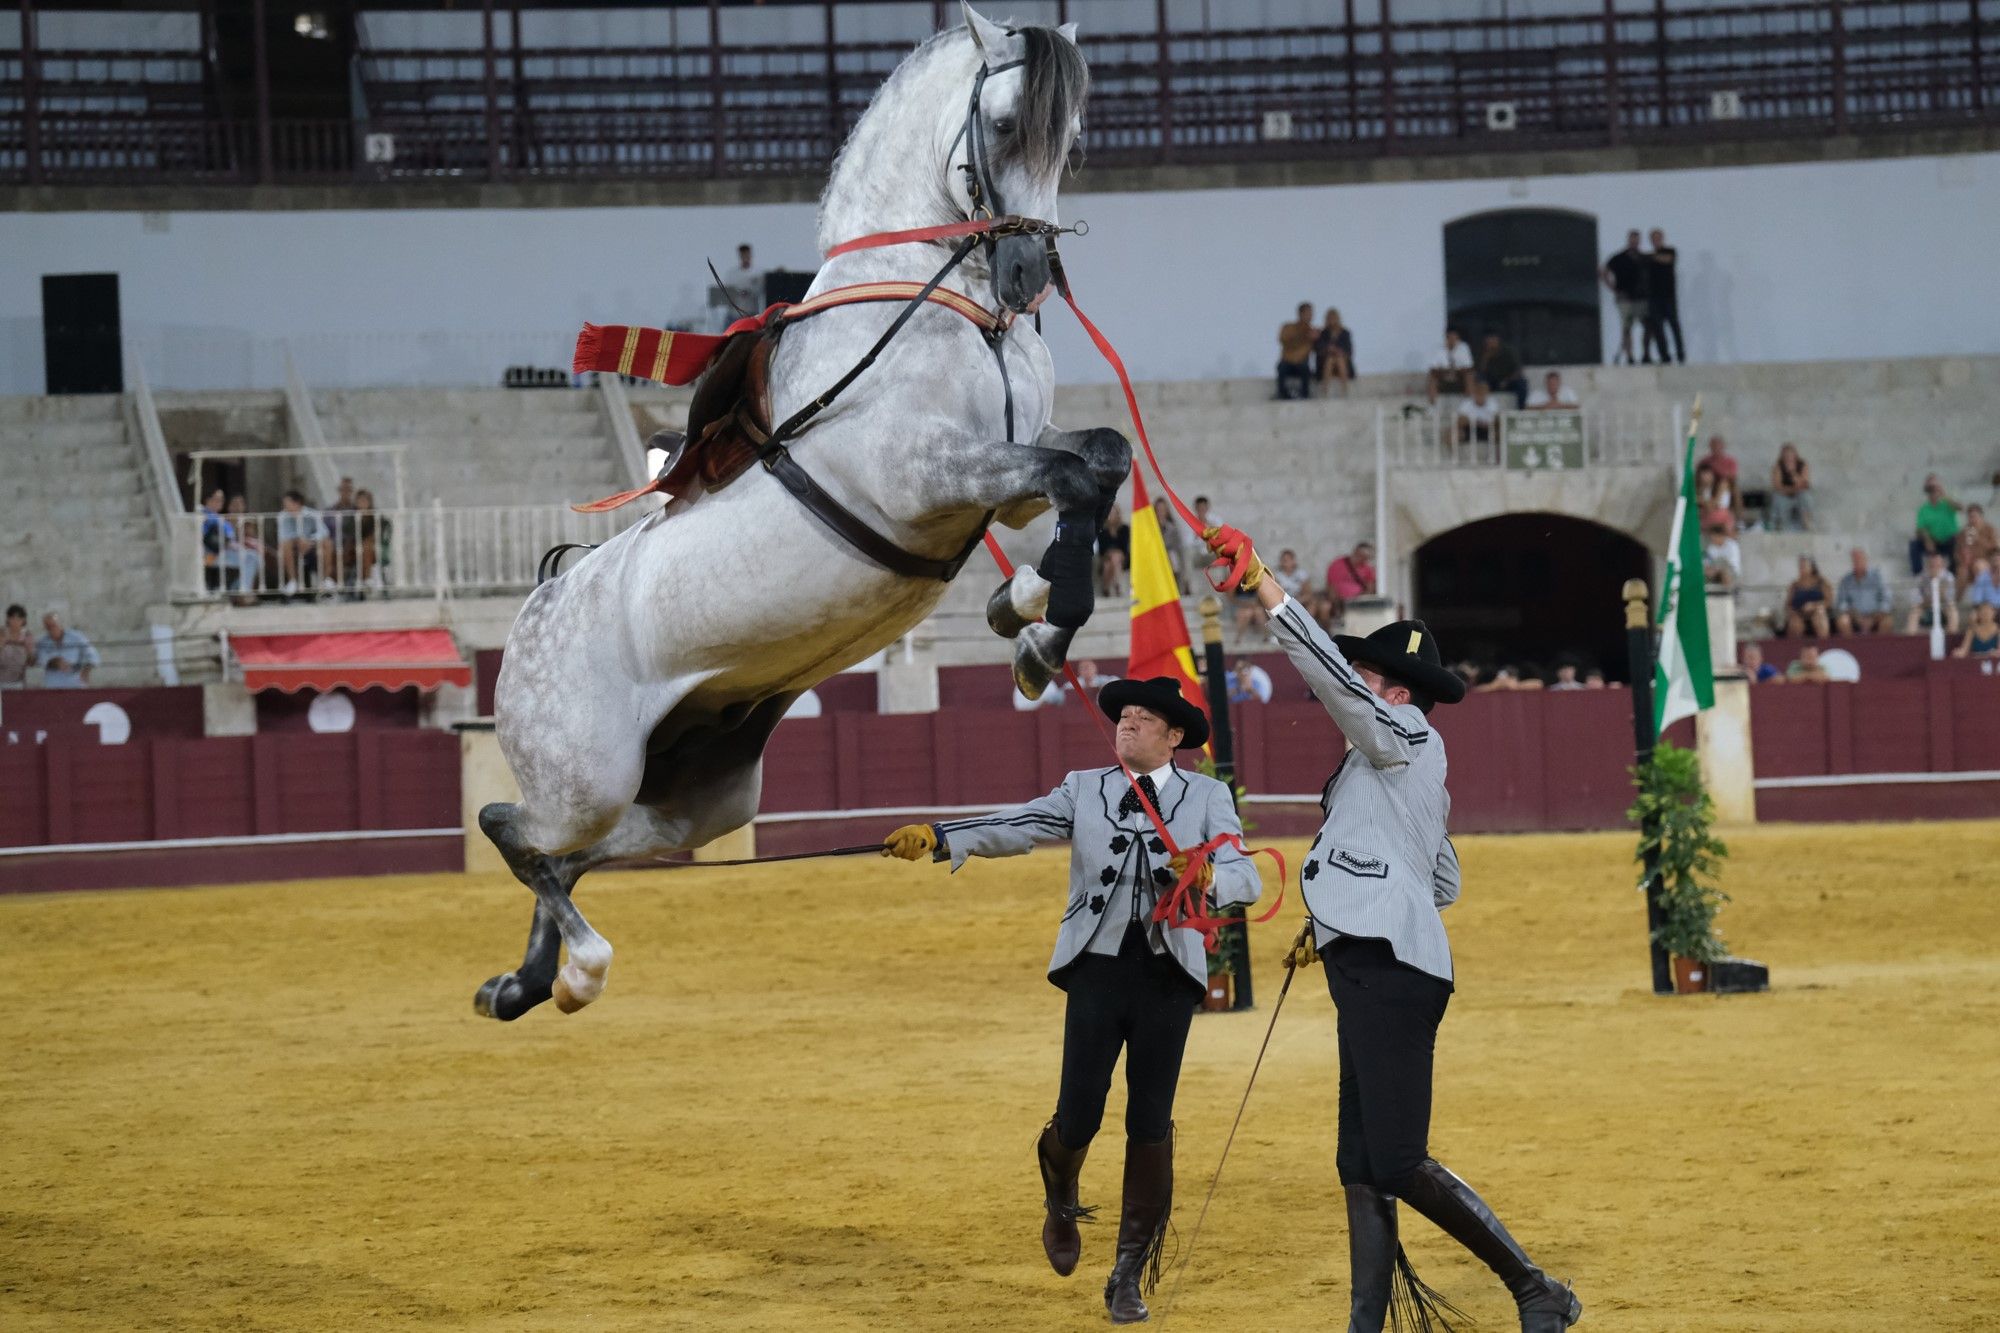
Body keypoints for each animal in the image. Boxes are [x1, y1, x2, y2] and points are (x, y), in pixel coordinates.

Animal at [472, 7, 1128, 1016]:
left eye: (1075, 139)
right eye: (1005, 125)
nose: (1027, 276)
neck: (944, 305)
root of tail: (534, 610)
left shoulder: (1009, 483)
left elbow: (1097, 464)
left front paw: (1022, 619)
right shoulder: (922, 472)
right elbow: (1079, 481)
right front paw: (1036, 634)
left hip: (705, 792)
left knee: (577, 851)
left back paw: (525, 981)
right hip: (587, 773)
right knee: (512, 827)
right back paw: (575, 968)